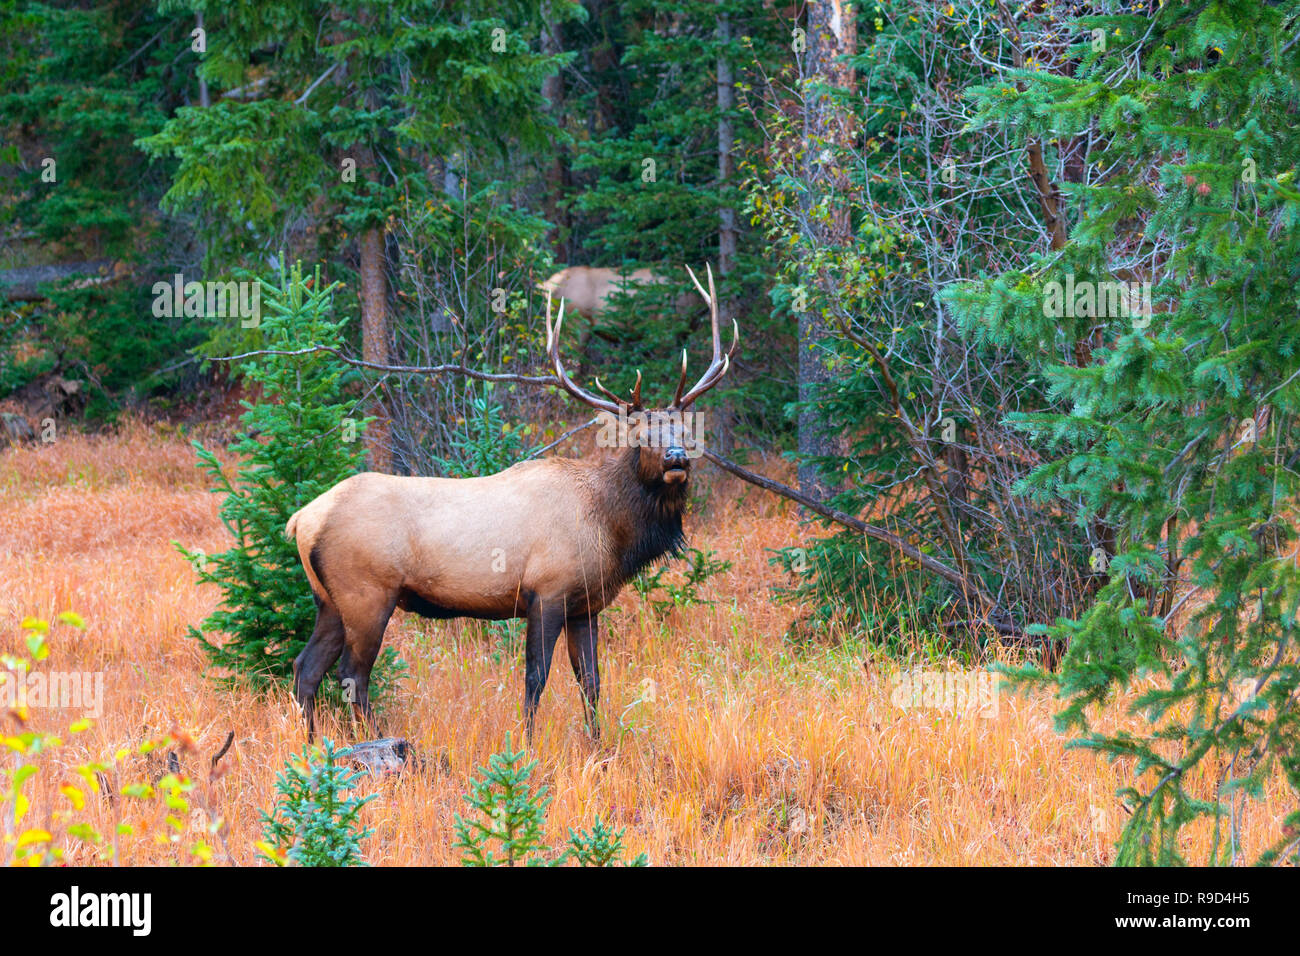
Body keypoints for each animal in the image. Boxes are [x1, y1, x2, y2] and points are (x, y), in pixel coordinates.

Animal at [288, 269, 738, 738]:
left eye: (684, 430)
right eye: (642, 435)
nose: (676, 458)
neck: (611, 529)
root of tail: (301, 519)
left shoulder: (586, 606)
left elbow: (592, 682)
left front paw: (599, 745)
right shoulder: (547, 591)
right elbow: (535, 678)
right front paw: (526, 742)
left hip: (328, 599)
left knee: (306, 667)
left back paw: (313, 743)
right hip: (367, 592)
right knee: (352, 675)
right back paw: (377, 741)